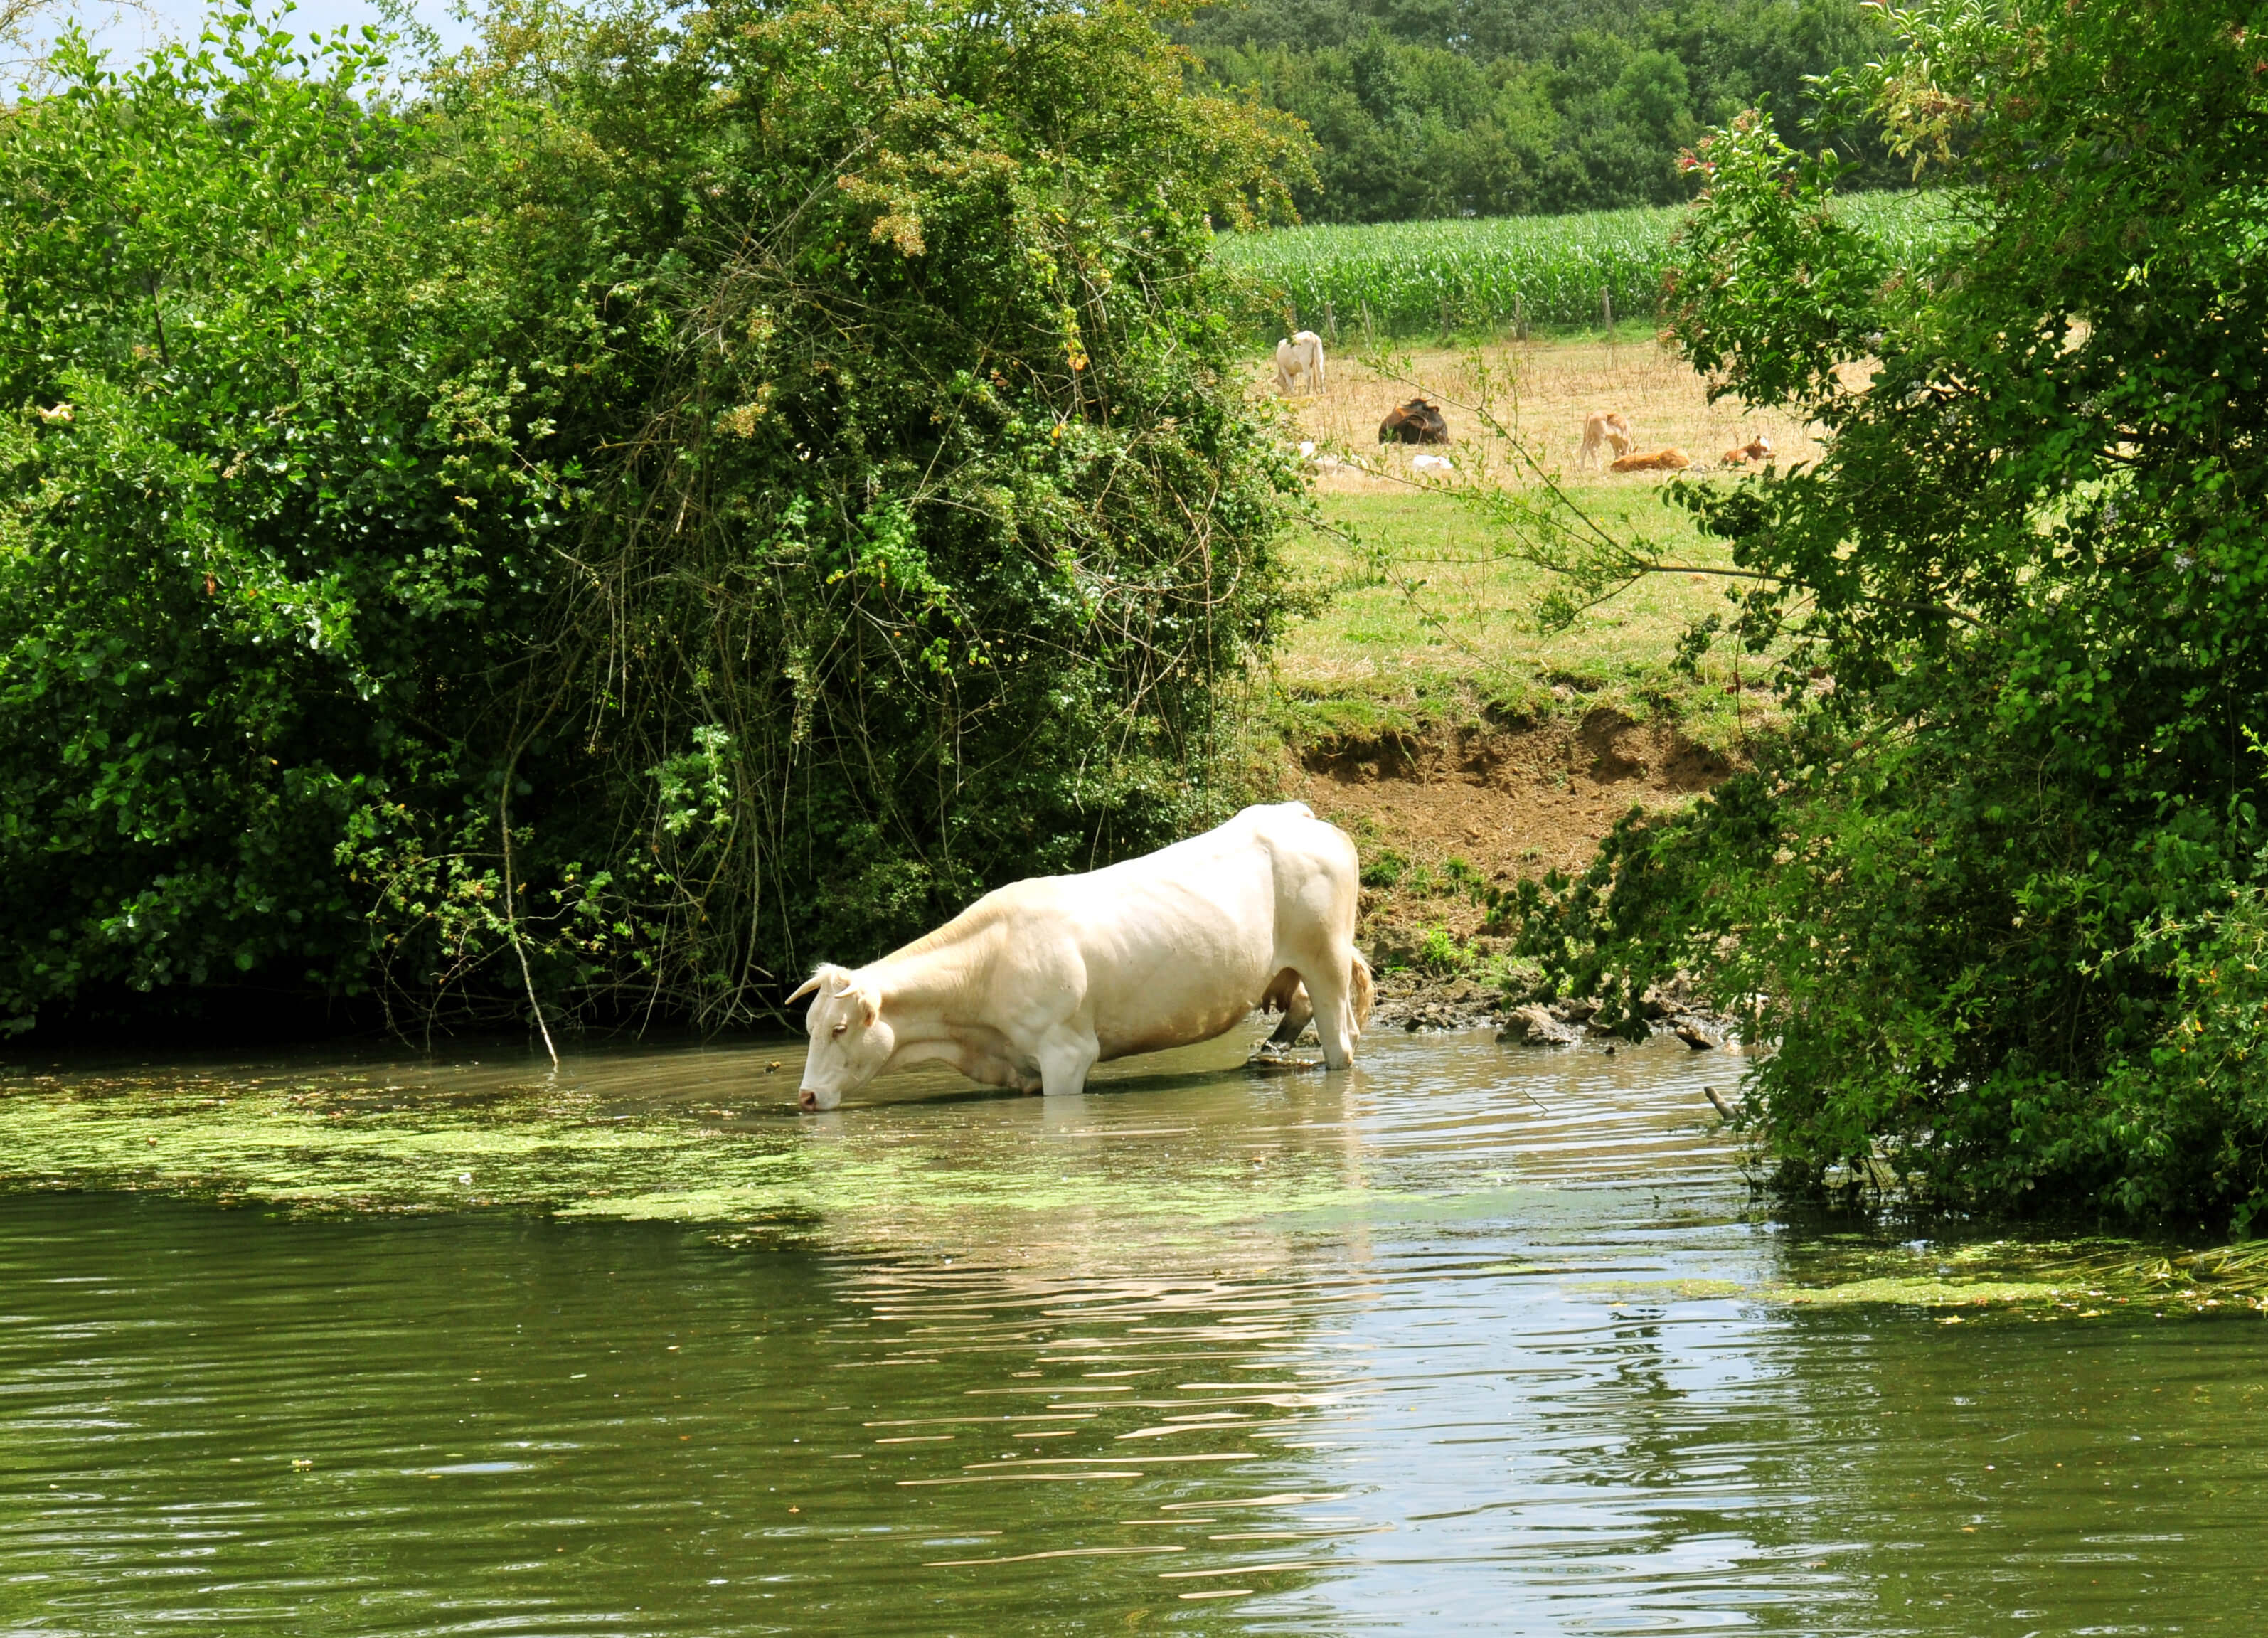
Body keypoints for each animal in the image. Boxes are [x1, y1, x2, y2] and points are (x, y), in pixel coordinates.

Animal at [789, 802, 1375, 1111]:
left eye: (839, 1028)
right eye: (810, 1026)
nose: (807, 1097)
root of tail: (1291, 813)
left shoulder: (1066, 1053)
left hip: (1324, 958)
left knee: (1340, 1043)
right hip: (1296, 965)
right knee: (1303, 1009)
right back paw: (1268, 1053)